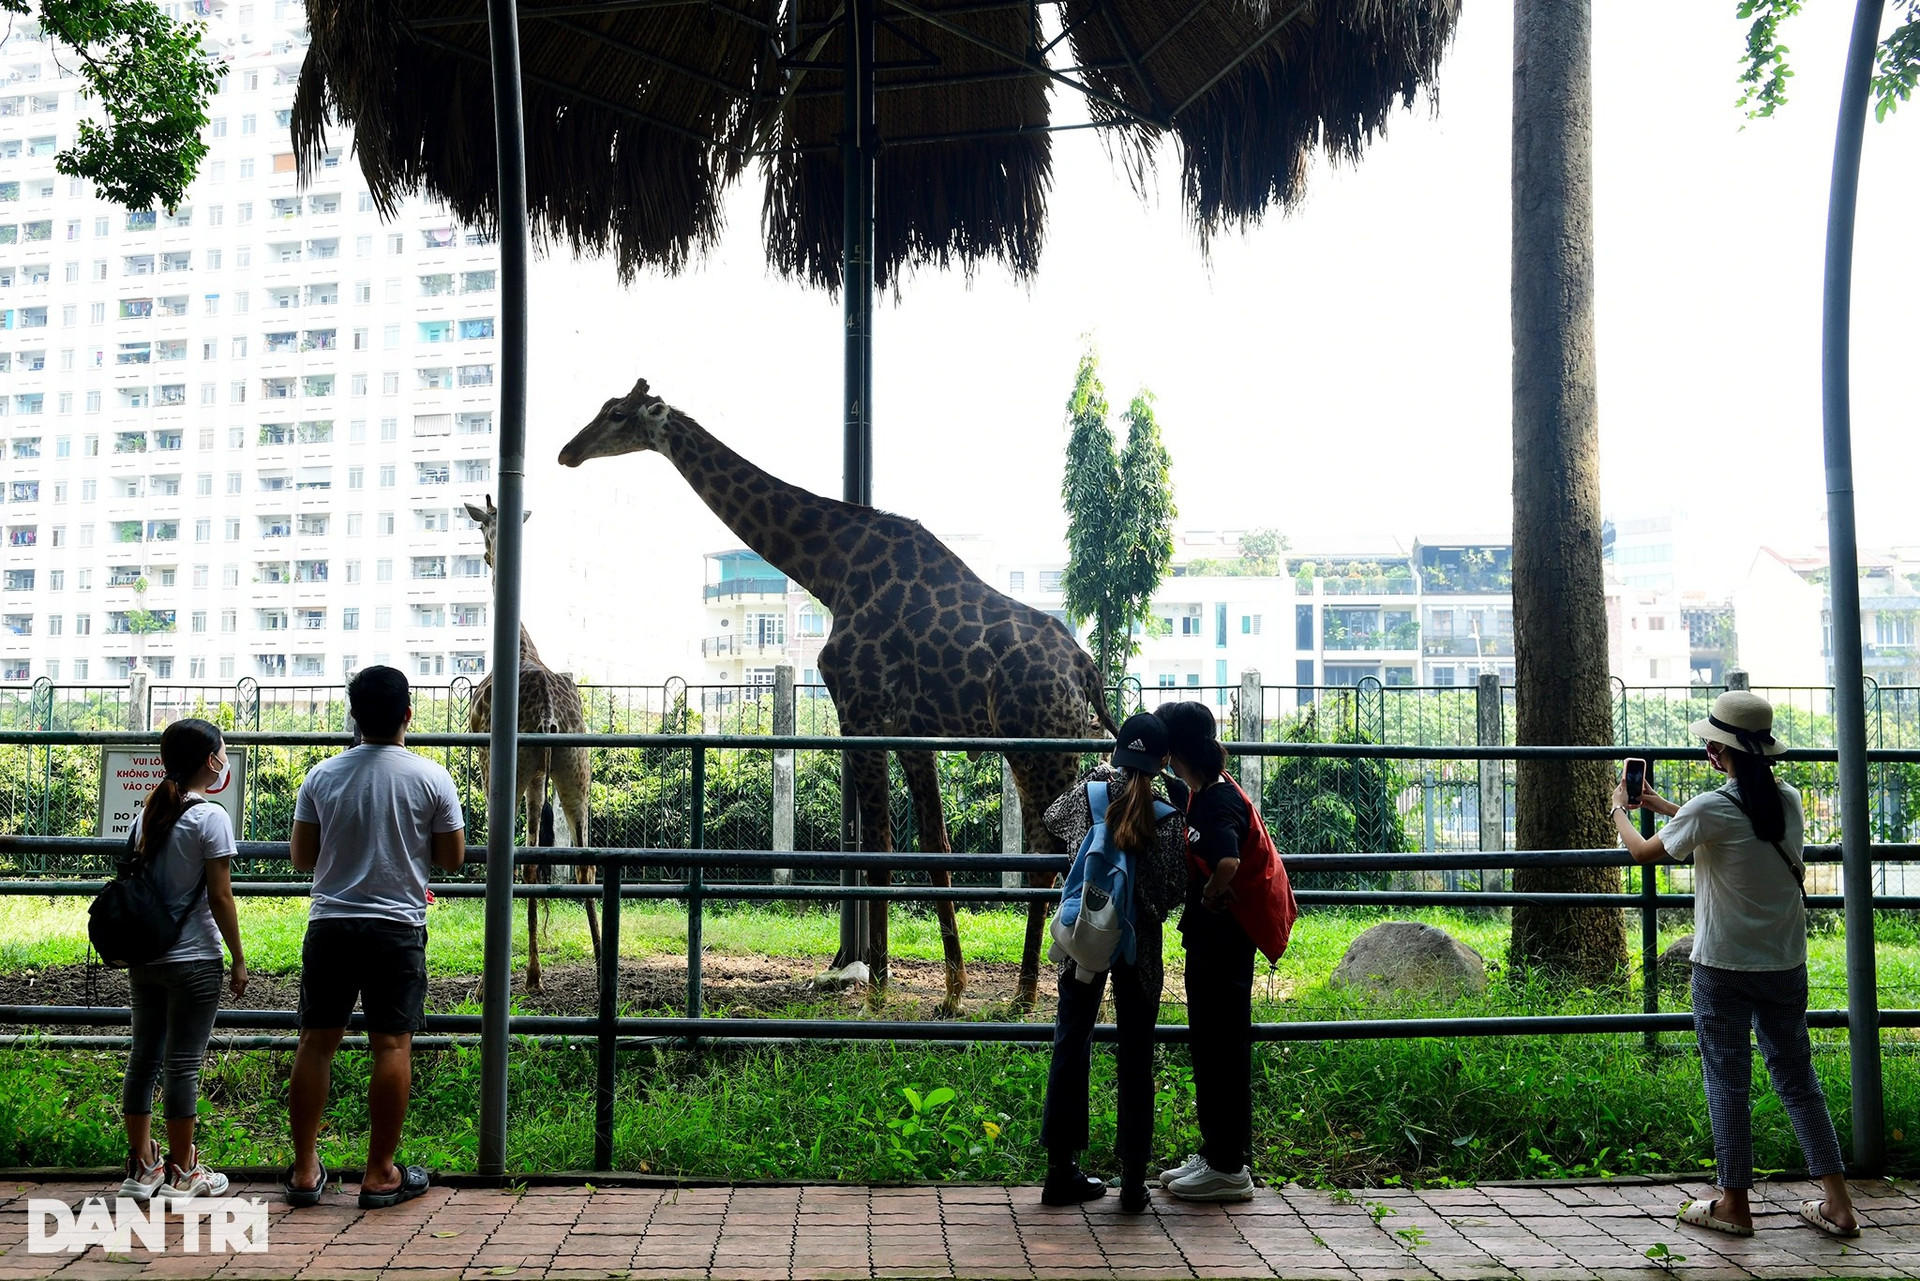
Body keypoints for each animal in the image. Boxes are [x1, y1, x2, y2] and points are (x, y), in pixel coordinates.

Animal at [460, 495, 595, 998]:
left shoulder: (494, 771)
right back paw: (601, 964)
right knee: (584, 865)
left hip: (522, 772)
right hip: (575, 772)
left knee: (519, 864)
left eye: (482, 527)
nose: (485, 555)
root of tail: (552, 714)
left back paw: (509, 980)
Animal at [556, 372, 1121, 1014]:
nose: (568, 451)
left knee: (1054, 851)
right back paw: (1041, 988)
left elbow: (877, 849)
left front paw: (877, 991)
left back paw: (1029, 996)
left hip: (1039, 745)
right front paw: (950, 993)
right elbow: (933, 848)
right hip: (1049, 745)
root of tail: (1084, 668)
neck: (830, 567)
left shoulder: (859, 711)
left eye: (617, 414)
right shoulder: (910, 730)